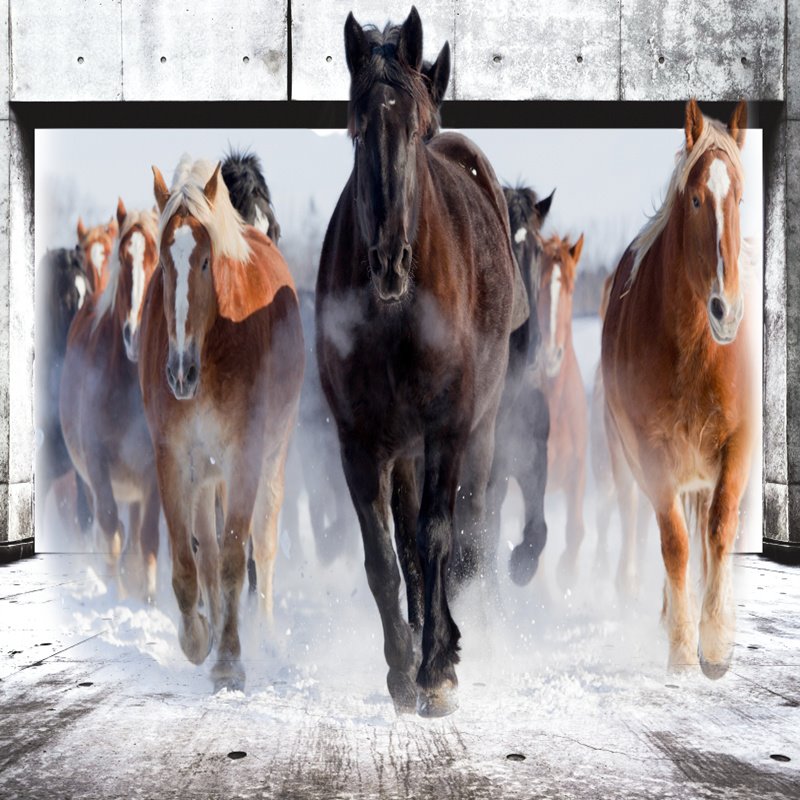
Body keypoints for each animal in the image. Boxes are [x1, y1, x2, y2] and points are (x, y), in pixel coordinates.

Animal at [60, 201, 161, 600]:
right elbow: (109, 528)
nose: (135, 334)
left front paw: (148, 597)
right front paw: (115, 593)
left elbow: (146, 536)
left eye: (158, 258)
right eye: (124, 256)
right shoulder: (96, 463)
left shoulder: (152, 470)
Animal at [140, 156, 304, 691]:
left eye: (207, 260)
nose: (179, 373)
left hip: (271, 459)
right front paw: (198, 639)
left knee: (263, 547)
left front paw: (230, 660)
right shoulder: (173, 459)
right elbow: (188, 560)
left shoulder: (245, 457)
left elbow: (236, 558)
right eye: (164, 263)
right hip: (206, 474)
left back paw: (266, 636)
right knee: (206, 551)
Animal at [316, 8, 518, 717]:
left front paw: (436, 669)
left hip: (480, 430)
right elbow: (384, 555)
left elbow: (436, 537)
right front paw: (402, 667)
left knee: (465, 533)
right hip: (402, 447)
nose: (390, 262)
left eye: (418, 128)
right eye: (356, 128)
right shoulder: (360, 441)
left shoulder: (449, 428)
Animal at [602, 99, 751, 678]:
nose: (727, 311)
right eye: (695, 198)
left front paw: (717, 640)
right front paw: (684, 648)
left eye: (740, 196)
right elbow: (675, 545)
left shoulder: (737, 446)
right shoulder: (653, 454)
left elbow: (719, 532)